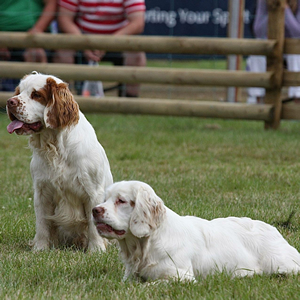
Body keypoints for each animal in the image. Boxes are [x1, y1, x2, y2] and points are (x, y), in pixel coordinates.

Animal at [6, 72, 112, 251]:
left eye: (36, 95)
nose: (9, 102)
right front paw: (40, 249)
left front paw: (96, 249)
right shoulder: (41, 192)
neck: (55, 147)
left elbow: (93, 225)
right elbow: (42, 223)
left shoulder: (93, 191)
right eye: (18, 92)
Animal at [92, 180, 300, 282]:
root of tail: (274, 230)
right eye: (105, 199)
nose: (95, 210)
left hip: (280, 265)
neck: (145, 247)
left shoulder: (180, 277)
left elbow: (151, 284)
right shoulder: (128, 277)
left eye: (121, 201)